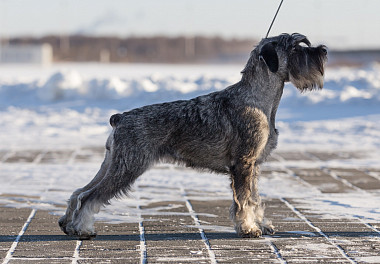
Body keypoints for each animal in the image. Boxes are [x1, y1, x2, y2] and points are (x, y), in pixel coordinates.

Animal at [58, 33, 326, 239]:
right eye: (295, 47)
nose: (323, 50)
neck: (258, 98)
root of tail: (120, 118)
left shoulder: (254, 167)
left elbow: (254, 199)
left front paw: (260, 223)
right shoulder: (243, 164)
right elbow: (243, 200)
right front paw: (248, 229)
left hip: (112, 164)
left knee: (78, 192)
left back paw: (68, 224)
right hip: (127, 168)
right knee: (90, 197)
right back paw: (83, 229)